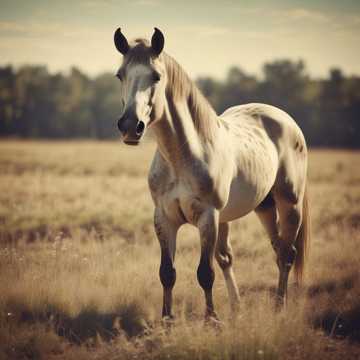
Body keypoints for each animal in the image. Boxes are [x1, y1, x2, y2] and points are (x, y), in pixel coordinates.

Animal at [113, 27, 310, 320]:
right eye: (120, 75)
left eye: (156, 76)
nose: (129, 126)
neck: (182, 155)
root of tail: (286, 120)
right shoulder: (164, 219)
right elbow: (167, 272)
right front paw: (167, 320)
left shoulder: (208, 217)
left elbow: (205, 273)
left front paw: (212, 320)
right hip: (264, 206)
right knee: (269, 251)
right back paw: (239, 307)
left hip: (289, 203)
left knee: (287, 253)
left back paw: (279, 307)